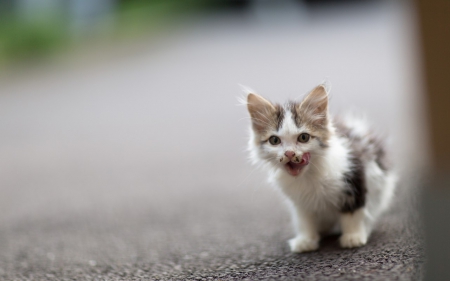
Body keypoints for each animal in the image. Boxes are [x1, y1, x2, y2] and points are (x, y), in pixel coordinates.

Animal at [244, 83, 396, 252]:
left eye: (303, 137)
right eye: (274, 140)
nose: (289, 153)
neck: (308, 176)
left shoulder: (354, 178)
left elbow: (353, 213)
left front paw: (353, 237)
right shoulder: (301, 202)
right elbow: (305, 220)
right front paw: (306, 241)